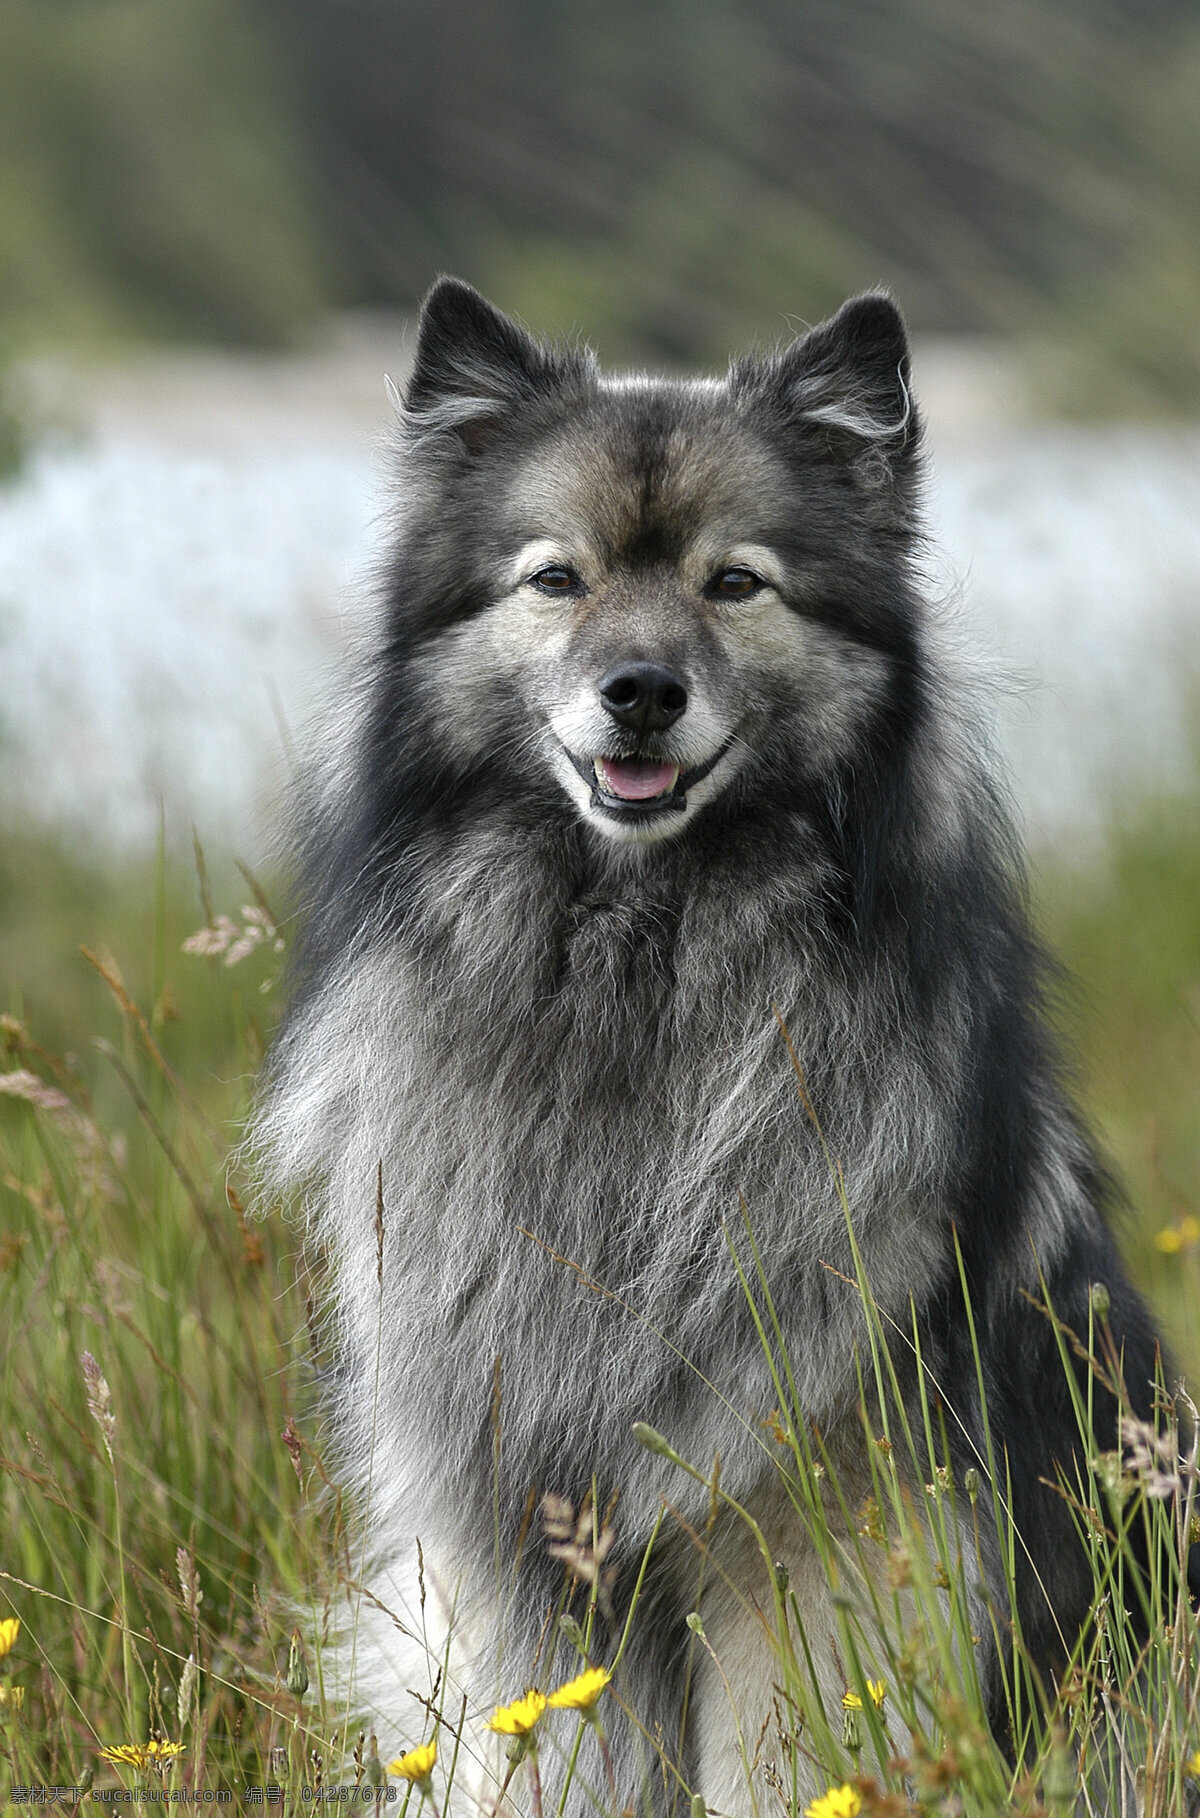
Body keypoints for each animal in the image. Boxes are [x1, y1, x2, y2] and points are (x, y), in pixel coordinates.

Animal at [258, 276, 1178, 1810]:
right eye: (556, 580)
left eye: (734, 583)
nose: (640, 690)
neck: (635, 970)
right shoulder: (521, 1556)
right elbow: (550, 1757)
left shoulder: (816, 1540)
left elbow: (786, 1758)